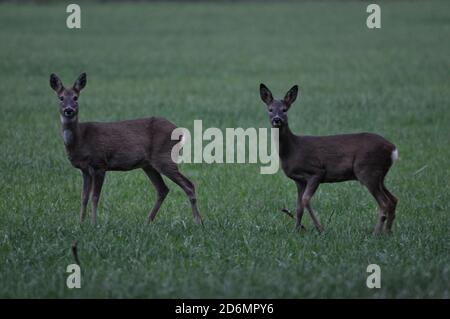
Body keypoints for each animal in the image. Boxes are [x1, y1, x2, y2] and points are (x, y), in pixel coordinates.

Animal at [50, 73, 203, 226]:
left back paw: (198, 221)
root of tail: (179, 131)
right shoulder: (85, 169)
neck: (81, 139)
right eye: (61, 97)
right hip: (148, 165)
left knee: (189, 185)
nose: (69, 110)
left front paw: (94, 224)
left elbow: (95, 197)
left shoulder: (99, 164)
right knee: (162, 189)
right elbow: (83, 197)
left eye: (76, 97)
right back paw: (147, 222)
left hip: (164, 158)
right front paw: (80, 223)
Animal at [260, 84, 398, 235]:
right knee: (393, 200)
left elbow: (305, 200)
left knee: (384, 203)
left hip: (367, 170)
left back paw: (376, 233)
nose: (277, 119)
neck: (292, 150)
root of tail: (392, 149)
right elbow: (298, 207)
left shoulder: (316, 172)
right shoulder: (299, 180)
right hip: (379, 175)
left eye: (284, 109)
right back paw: (388, 232)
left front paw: (320, 228)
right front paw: (296, 230)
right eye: (270, 109)